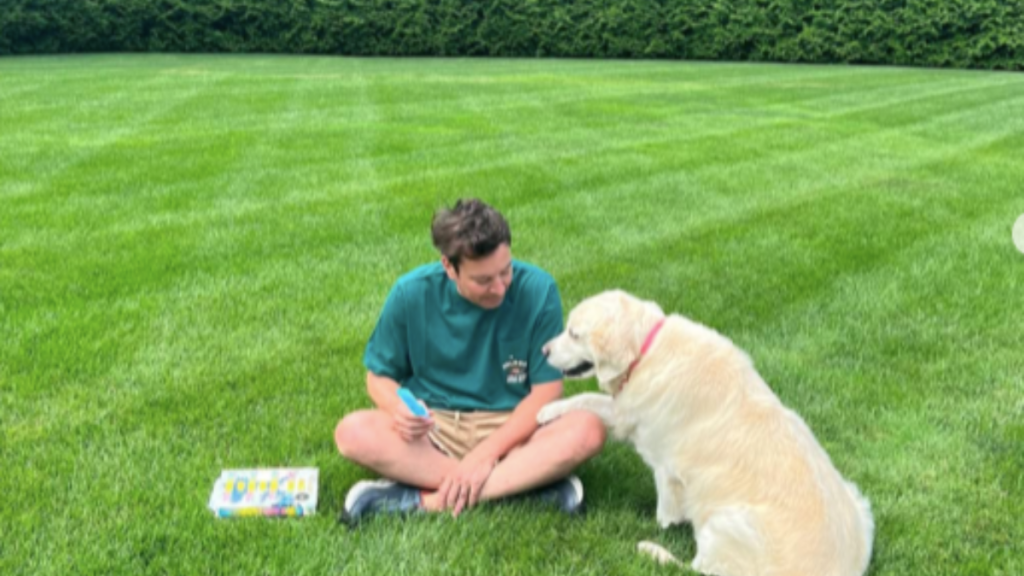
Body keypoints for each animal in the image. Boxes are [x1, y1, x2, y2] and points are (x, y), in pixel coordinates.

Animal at [536, 289, 872, 573]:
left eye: (574, 333)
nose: (544, 349)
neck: (646, 351)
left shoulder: (661, 461)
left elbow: (665, 515)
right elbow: (591, 398)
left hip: (725, 521)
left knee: (692, 568)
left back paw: (650, 549)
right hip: (860, 502)